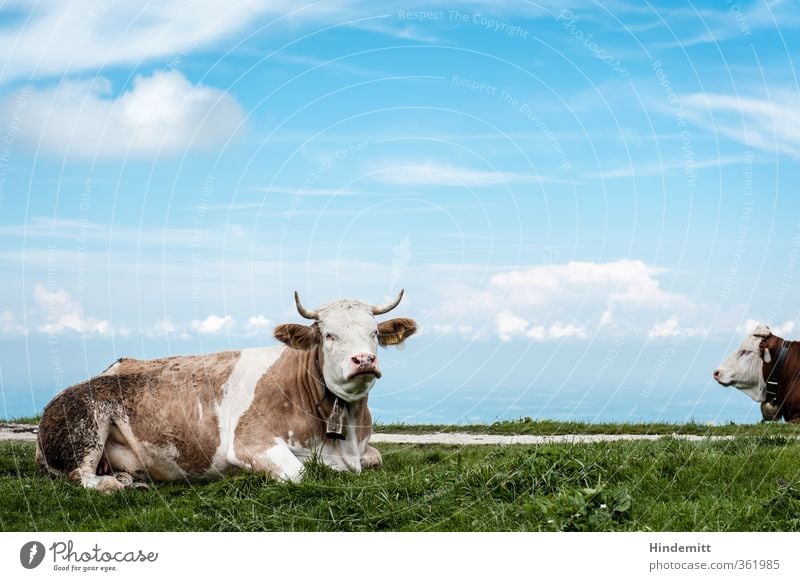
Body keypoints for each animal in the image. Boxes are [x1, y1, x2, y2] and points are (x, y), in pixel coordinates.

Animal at [34, 288, 416, 490]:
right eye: (328, 335)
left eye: (373, 333)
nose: (363, 359)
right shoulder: (251, 441)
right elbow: (301, 473)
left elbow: (378, 457)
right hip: (84, 424)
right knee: (81, 476)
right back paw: (115, 485)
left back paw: (131, 479)